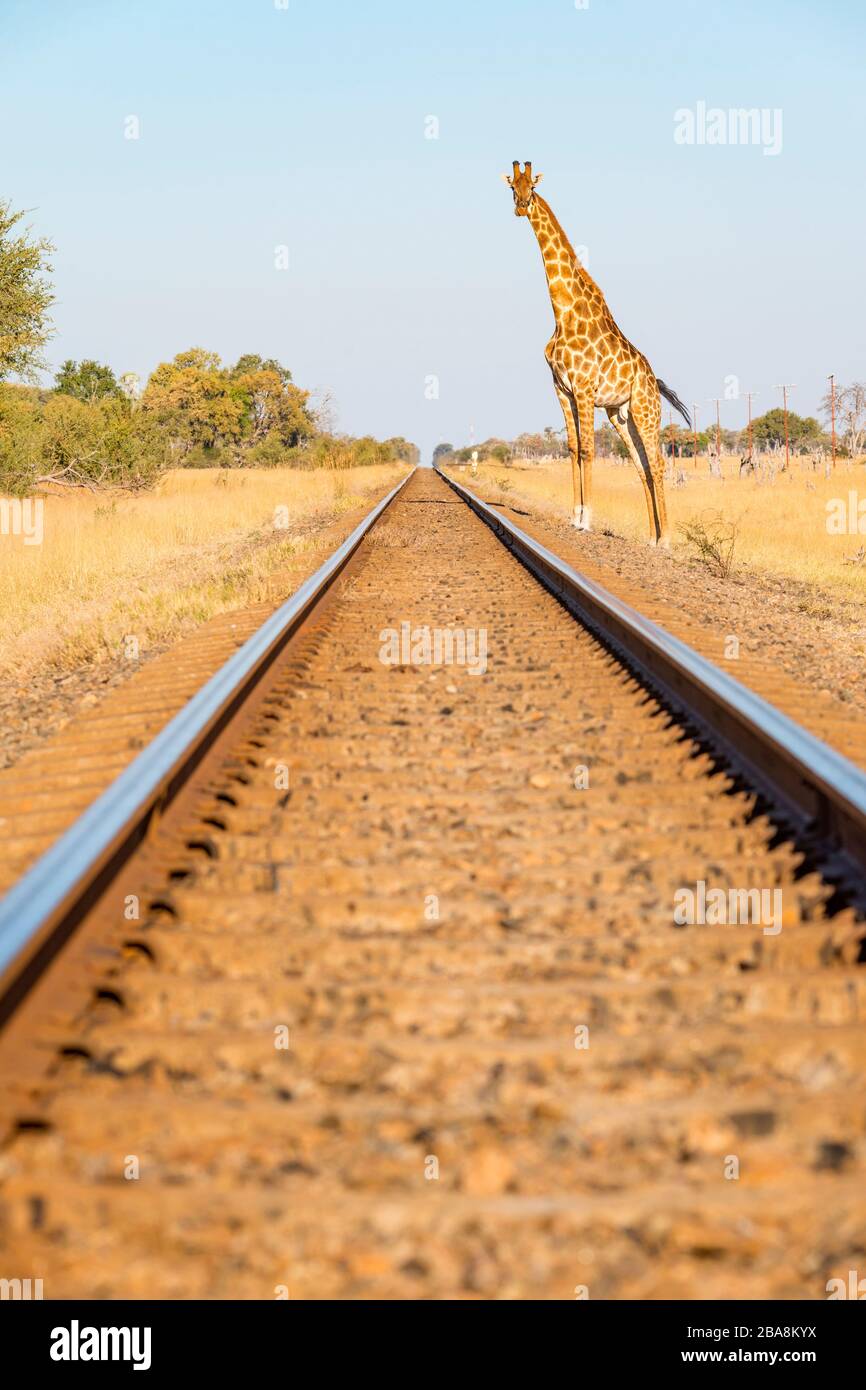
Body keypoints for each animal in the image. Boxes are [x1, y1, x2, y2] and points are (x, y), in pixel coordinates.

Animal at [500, 161, 692, 542]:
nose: (521, 206)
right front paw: (574, 515)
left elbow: (588, 450)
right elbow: (573, 449)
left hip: (646, 411)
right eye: (512, 186)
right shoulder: (562, 389)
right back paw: (651, 537)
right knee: (642, 466)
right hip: (620, 415)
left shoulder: (585, 387)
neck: (562, 312)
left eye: (533, 187)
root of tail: (654, 381)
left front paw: (587, 520)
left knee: (658, 463)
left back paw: (666, 539)